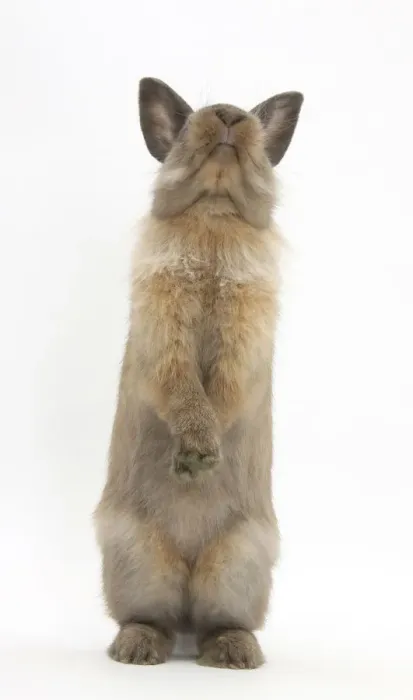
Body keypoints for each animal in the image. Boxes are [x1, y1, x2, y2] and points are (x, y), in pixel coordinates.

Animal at [94, 77, 303, 669]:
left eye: (249, 121)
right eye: (191, 123)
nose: (230, 115)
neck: (213, 210)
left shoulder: (246, 337)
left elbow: (226, 392)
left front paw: (201, 459)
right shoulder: (163, 332)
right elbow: (183, 389)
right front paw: (194, 453)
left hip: (238, 566)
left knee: (219, 622)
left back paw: (235, 655)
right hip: (138, 561)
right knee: (155, 617)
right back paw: (136, 648)